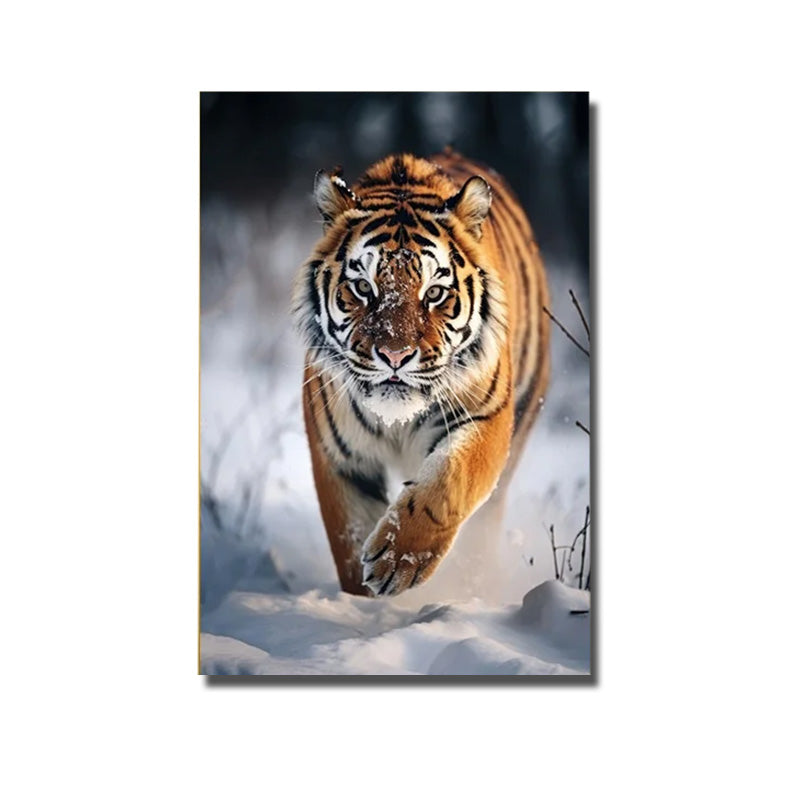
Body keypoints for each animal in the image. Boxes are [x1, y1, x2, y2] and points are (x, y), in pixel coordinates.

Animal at [292, 150, 550, 597]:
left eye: (434, 293)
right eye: (363, 288)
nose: (395, 356)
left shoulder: (486, 416)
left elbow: (451, 479)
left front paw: (397, 561)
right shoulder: (340, 458)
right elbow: (349, 536)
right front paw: (362, 603)